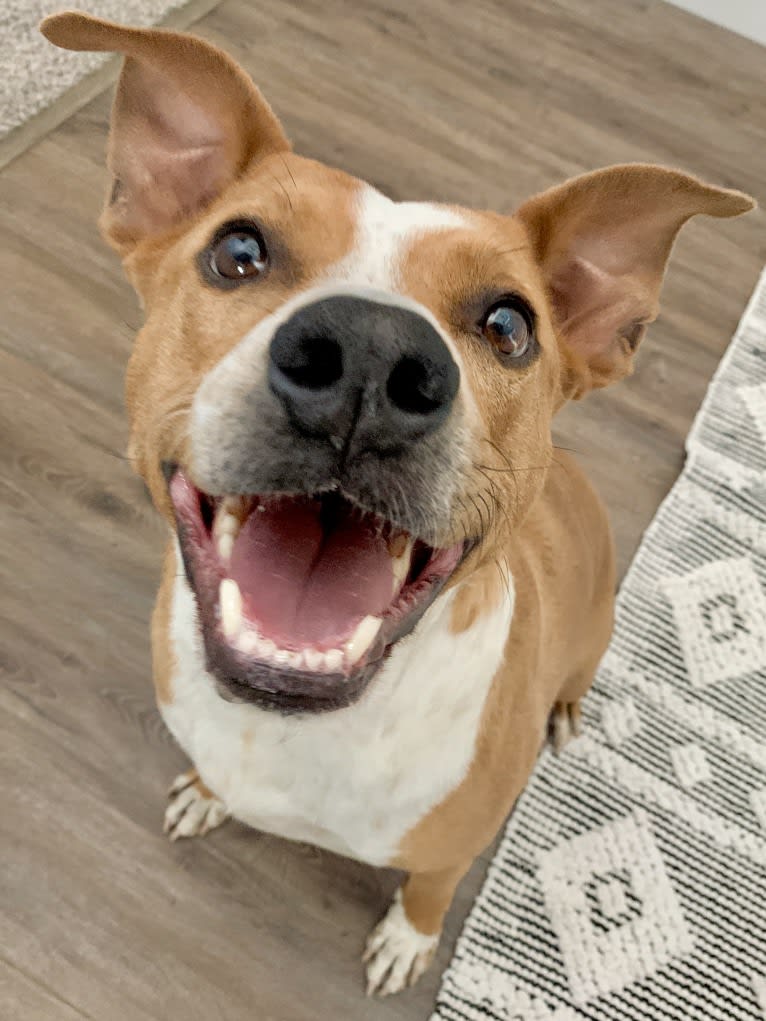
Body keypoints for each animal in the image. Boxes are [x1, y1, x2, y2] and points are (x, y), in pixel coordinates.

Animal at [43, 7, 755, 996]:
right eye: (237, 252)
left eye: (509, 325)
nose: (370, 357)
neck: (305, 724)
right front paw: (207, 794)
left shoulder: (452, 850)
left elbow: (428, 891)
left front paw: (406, 941)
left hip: (595, 634)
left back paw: (567, 714)